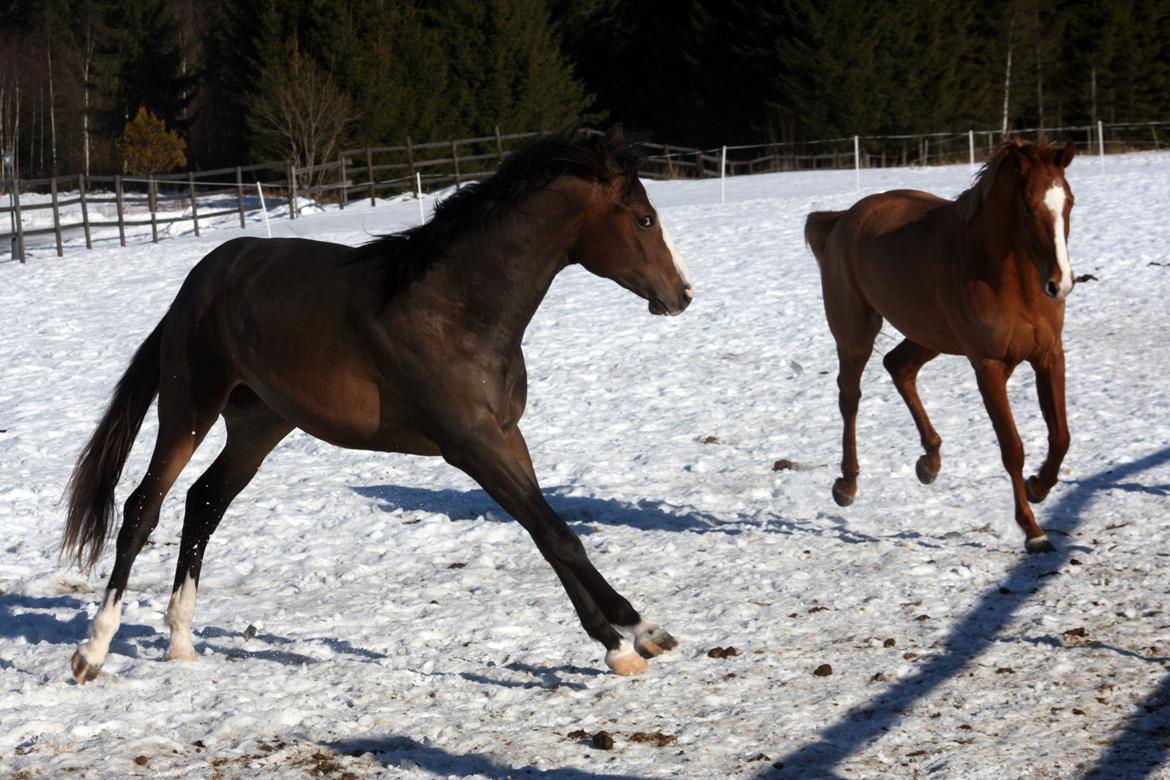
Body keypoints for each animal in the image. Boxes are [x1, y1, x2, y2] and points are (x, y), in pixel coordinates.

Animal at [64, 128, 692, 682]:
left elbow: (550, 535)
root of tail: (197, 282)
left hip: (258, 424)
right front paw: (635, 637)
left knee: (203, 504)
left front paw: (626, 640)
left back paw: (180, 641)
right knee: (143, 508)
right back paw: (93, 652)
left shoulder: (505, 436)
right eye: (643, 218)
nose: (682, 294)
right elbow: (557, 534)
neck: (457, 310)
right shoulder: (471, 446)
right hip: (189, 408)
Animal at [809, 140, 1071, 554]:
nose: (1060, 283)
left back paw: (929, 462)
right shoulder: (988, 365)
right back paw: (847, 485)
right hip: (855, 335)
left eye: (1069, 202)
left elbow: (1060, 437)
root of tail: (842, 220)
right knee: (850, 398)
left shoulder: (1048, 356)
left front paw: (1039, 487)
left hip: (928, 335)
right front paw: (1033, 530)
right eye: (1028, 207)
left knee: (899, 366)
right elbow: (1012, 448)